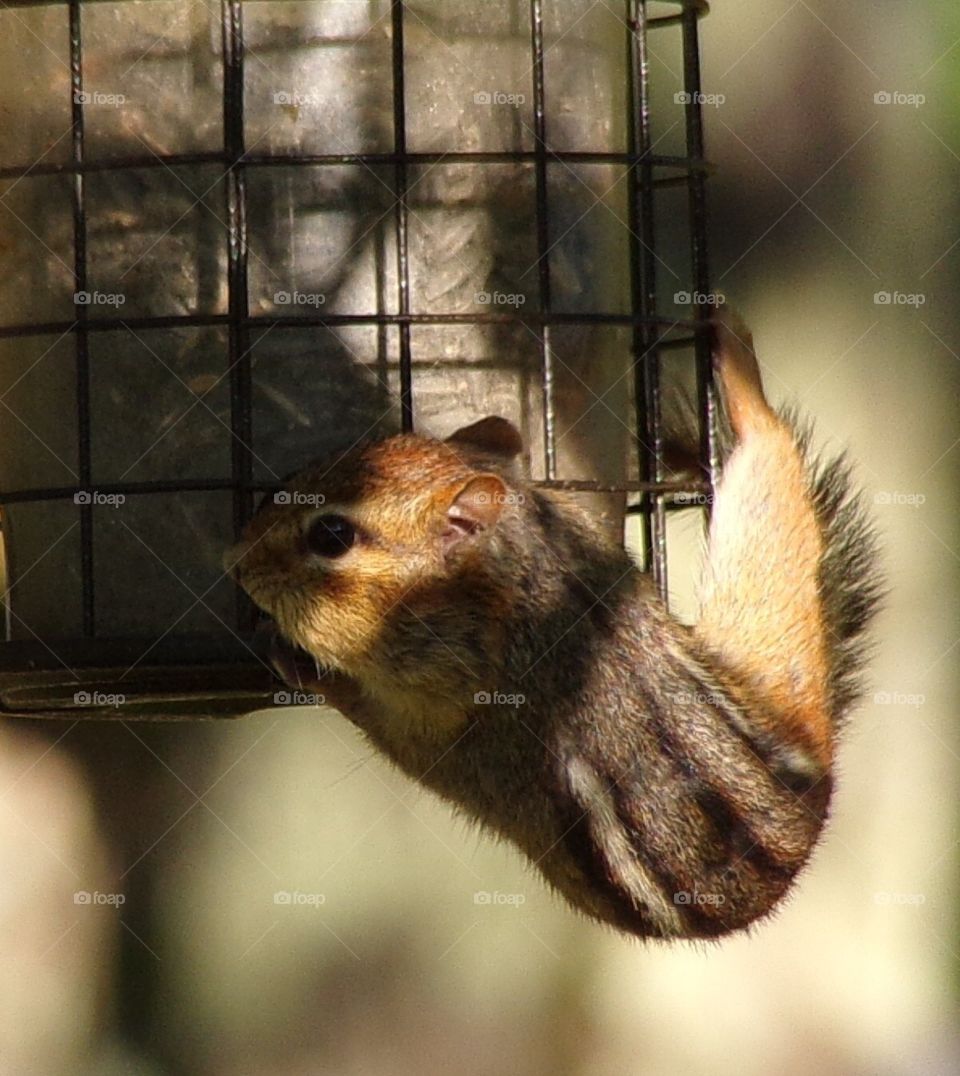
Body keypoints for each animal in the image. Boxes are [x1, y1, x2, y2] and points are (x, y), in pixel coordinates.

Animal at [224, 311, 880, 940]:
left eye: (332, 535)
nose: (237, 558)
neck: (525, 586)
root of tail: (815, 773)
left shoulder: (456, 725)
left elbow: (386, 728)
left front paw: (304, 666)